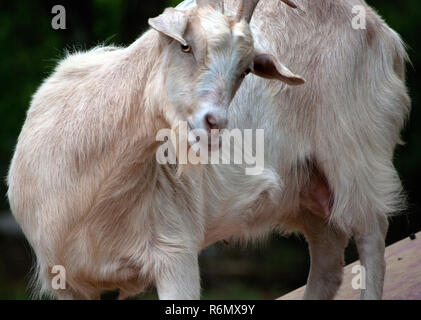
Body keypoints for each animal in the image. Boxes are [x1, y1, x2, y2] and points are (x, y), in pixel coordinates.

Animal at [7, 0, 406, 300]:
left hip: (357, 154)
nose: (215, 124)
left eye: (246, 69)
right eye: (186, 46)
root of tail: (384, 33)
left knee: (371, 236)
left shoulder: (175, 253)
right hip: (306, 190)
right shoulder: (68, 281)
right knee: (328, 257)